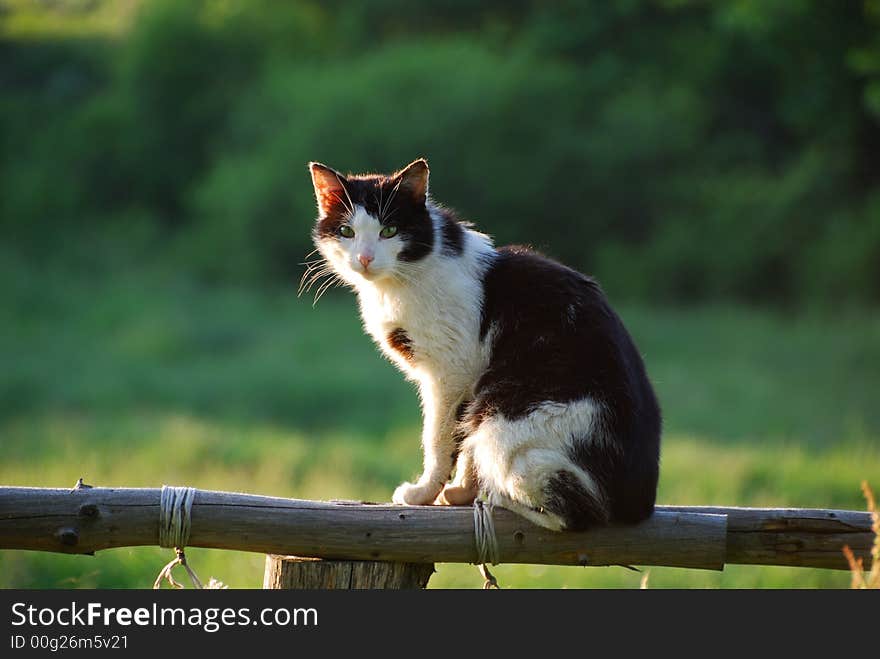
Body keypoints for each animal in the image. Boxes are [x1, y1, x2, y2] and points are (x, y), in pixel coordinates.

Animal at [310, 159, 660, 532]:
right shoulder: (467, 380)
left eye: (389, 230)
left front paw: (423, 493)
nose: (364, 258)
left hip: (504, 424)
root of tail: (638, 504)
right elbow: (463, 442)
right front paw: (460, 492)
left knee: (577, 515)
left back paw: (499, 498)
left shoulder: (452, 372)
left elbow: (441, 437)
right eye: (346, 231)